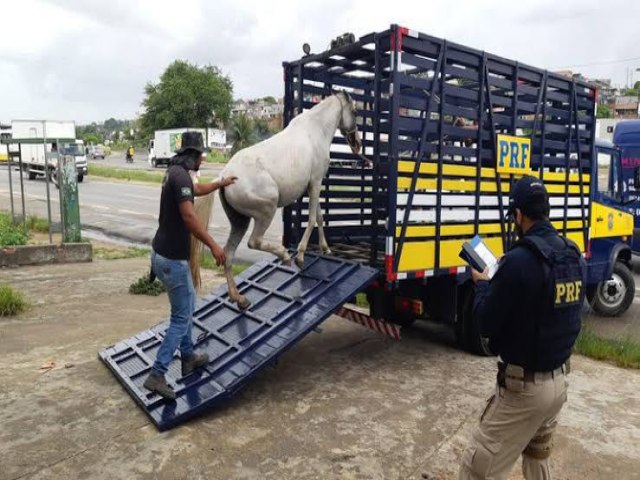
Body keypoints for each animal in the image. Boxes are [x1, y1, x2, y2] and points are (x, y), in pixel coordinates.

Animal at [219, 92, 360, 310]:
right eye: (354, 111)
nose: (357, 143)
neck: (316, 130)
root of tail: (225, 177)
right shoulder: (316, 182)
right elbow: (312, 219)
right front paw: (300, 256)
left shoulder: (313, 185)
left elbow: (319, 217)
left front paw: (326, 248)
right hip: (267, 209)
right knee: (254, 241)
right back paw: (284, 256)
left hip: (239, 221)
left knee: (228, 254)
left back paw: (239, 298)